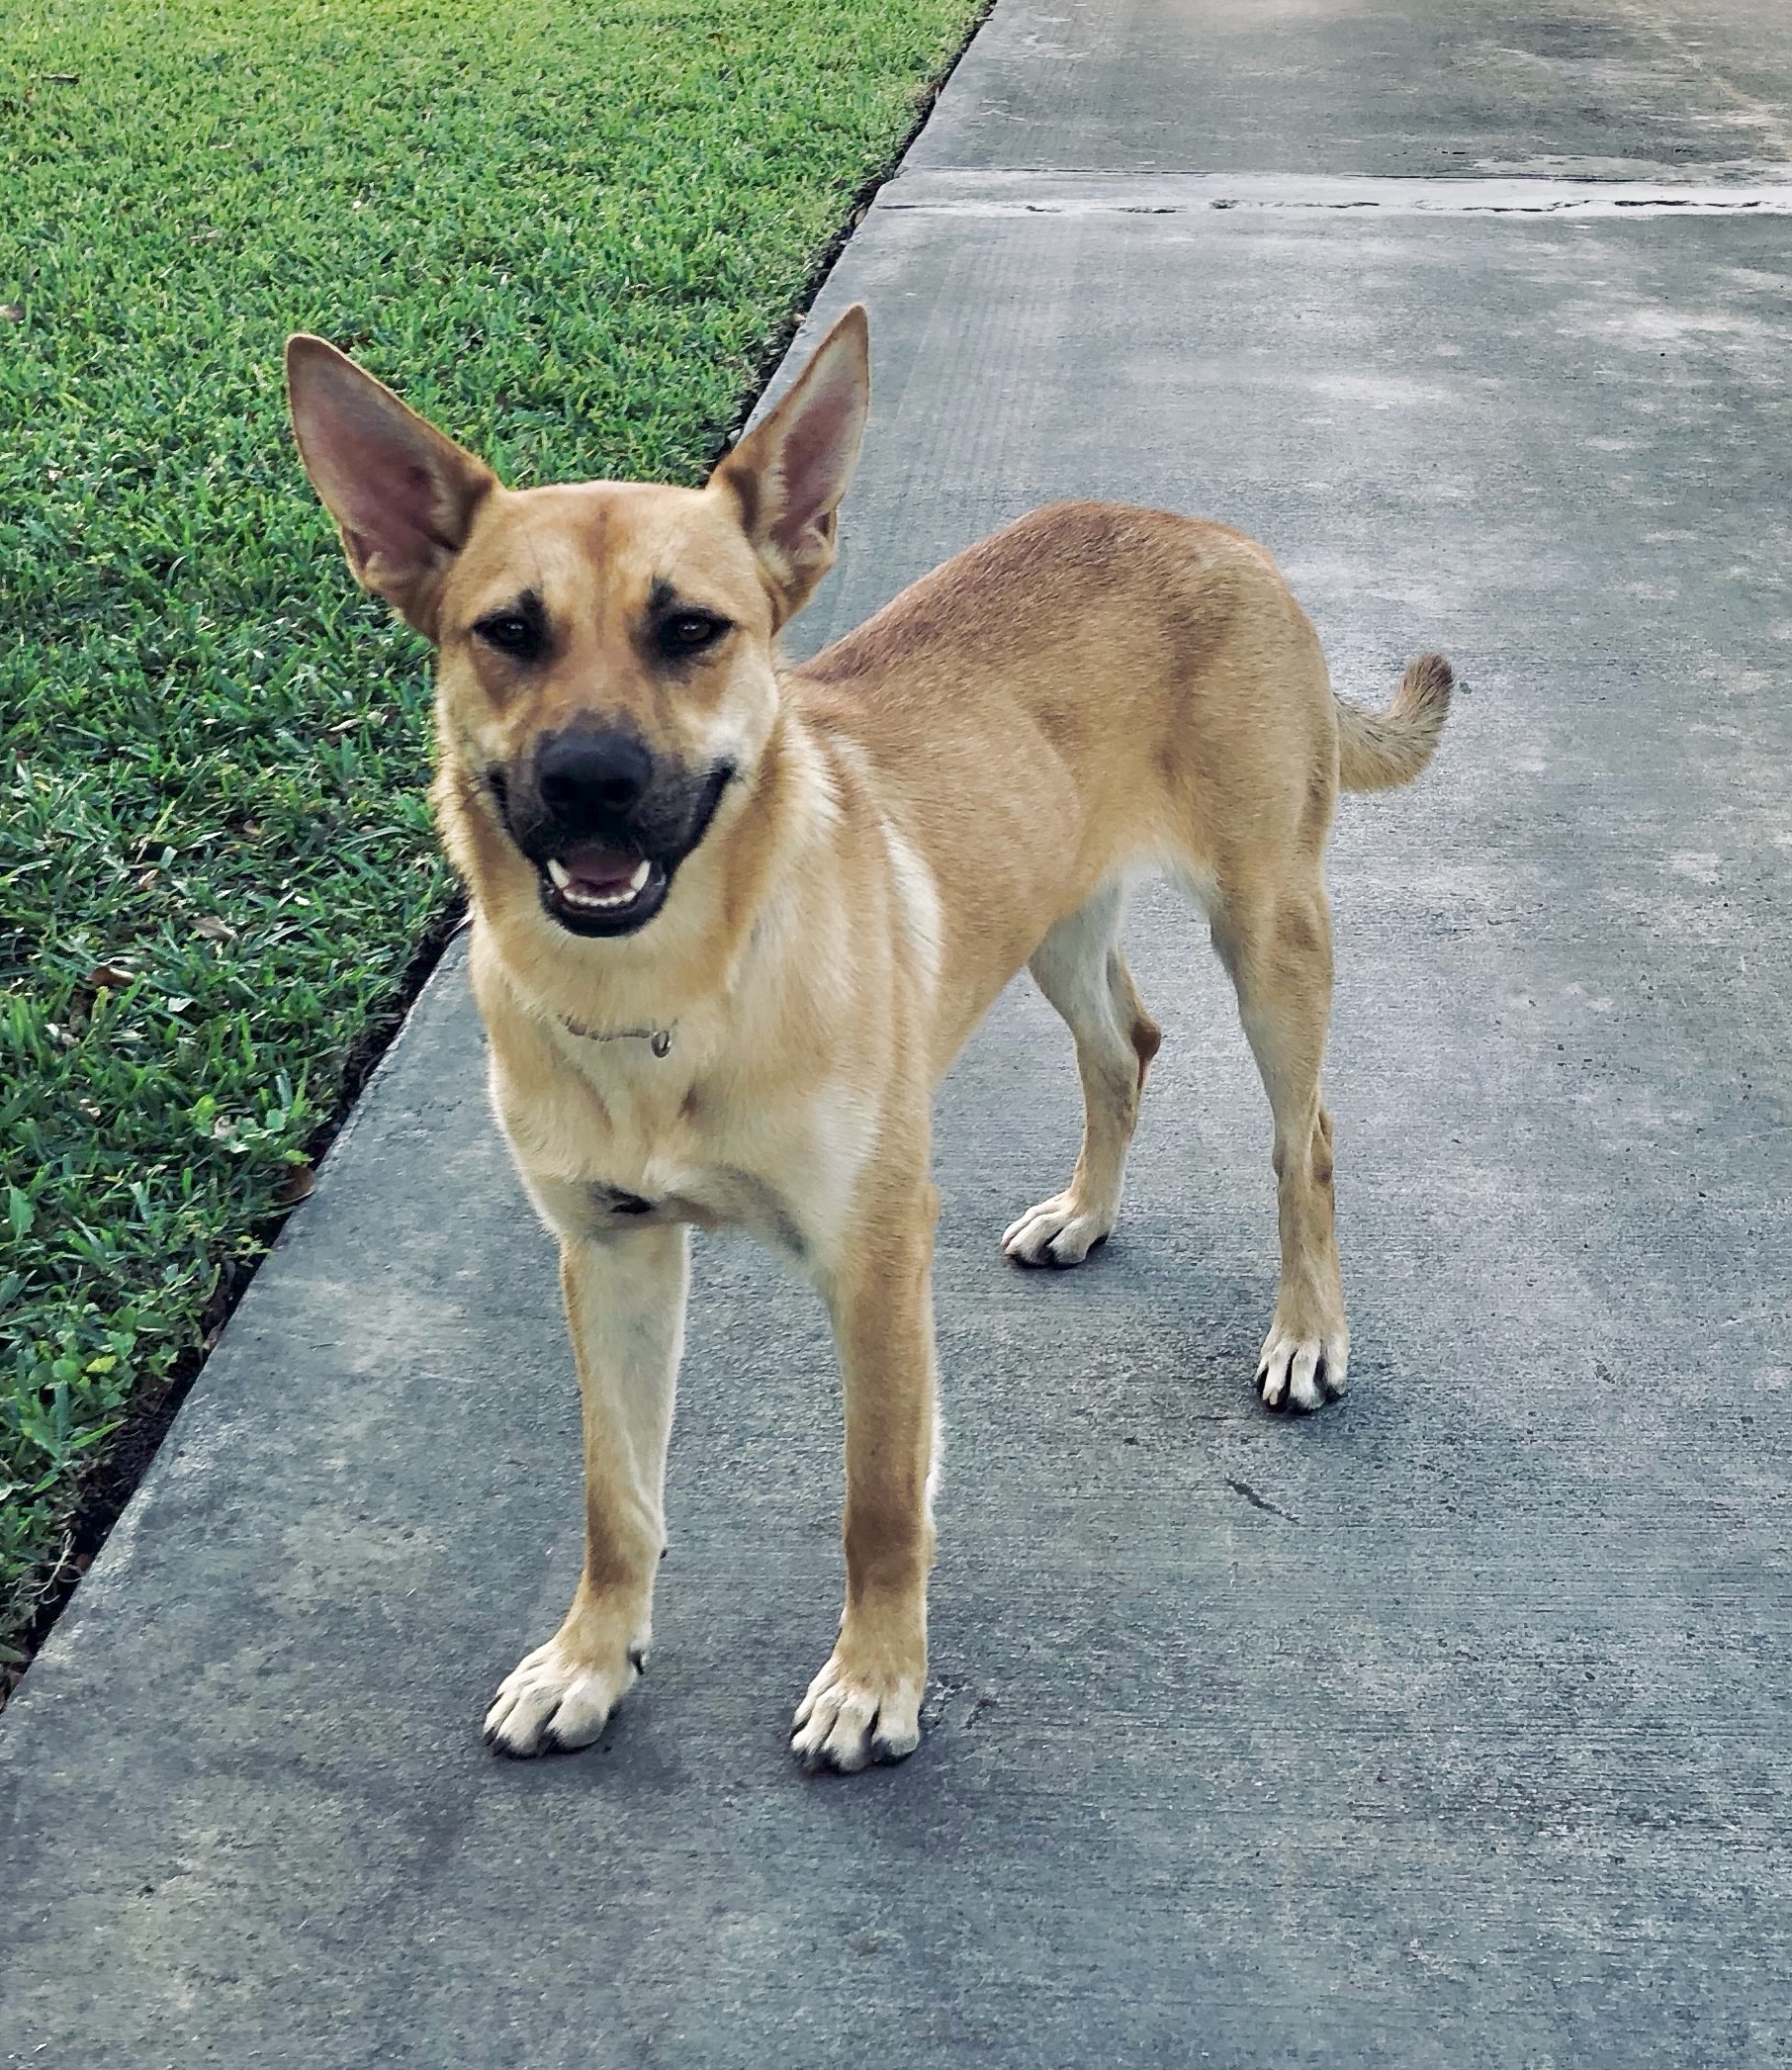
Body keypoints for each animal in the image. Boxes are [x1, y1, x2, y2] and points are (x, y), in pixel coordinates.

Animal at [283, 306, 1457, 1779]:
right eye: (507, 630)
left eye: (692, 629)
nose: (591, 781)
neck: (669, 999)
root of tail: (1208, 529)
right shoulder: (609, 1251)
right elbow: (618, 1495)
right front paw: (593, 1659)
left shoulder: (876, 1257)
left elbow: (881, 1497)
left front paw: (875, 1680)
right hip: (1045, 913)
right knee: (1125, 1042)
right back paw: (1084, 1212)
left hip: (1269, 930)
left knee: (1306, 1137)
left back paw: (1306, 1331)